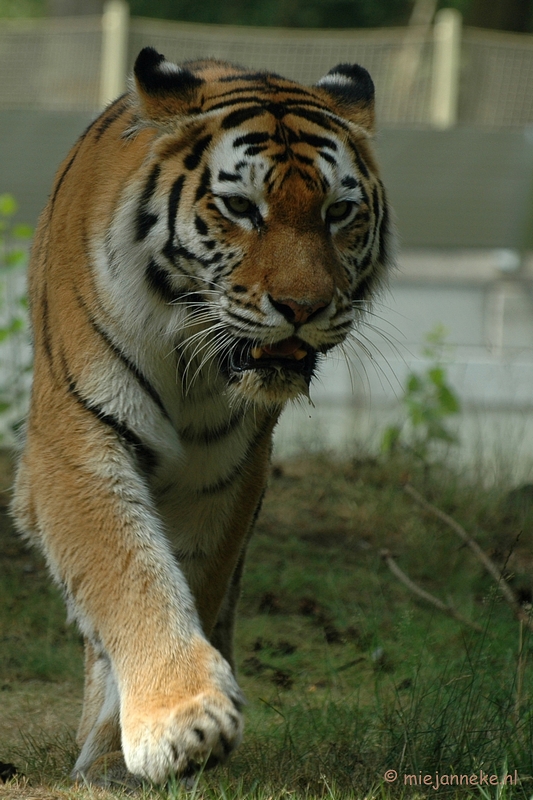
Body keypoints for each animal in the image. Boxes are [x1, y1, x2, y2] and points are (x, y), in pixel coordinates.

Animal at [10, 47, 392, 784]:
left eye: (338, 212)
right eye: (240, 207)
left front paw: (133, 745)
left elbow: (189, 575)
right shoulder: (79, 439)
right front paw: (181, 719)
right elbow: (129, 569)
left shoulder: (226, 470)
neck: (190, 351)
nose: (301, 306)